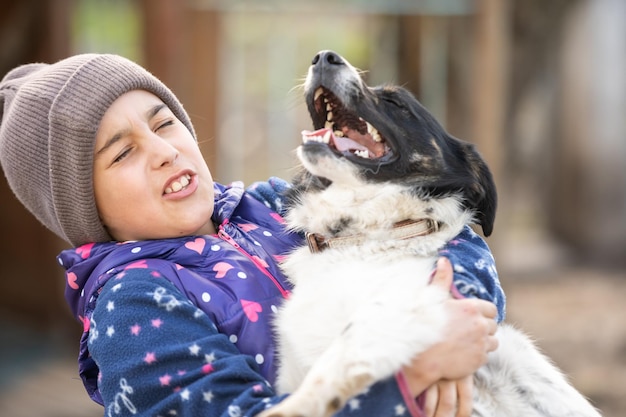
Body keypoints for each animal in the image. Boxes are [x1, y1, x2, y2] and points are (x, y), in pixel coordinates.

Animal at [258, 51, 600, 416]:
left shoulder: (416, 301)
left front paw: (292, 407)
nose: (324, 56)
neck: (362, 237)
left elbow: (343, 352)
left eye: (396, 102)